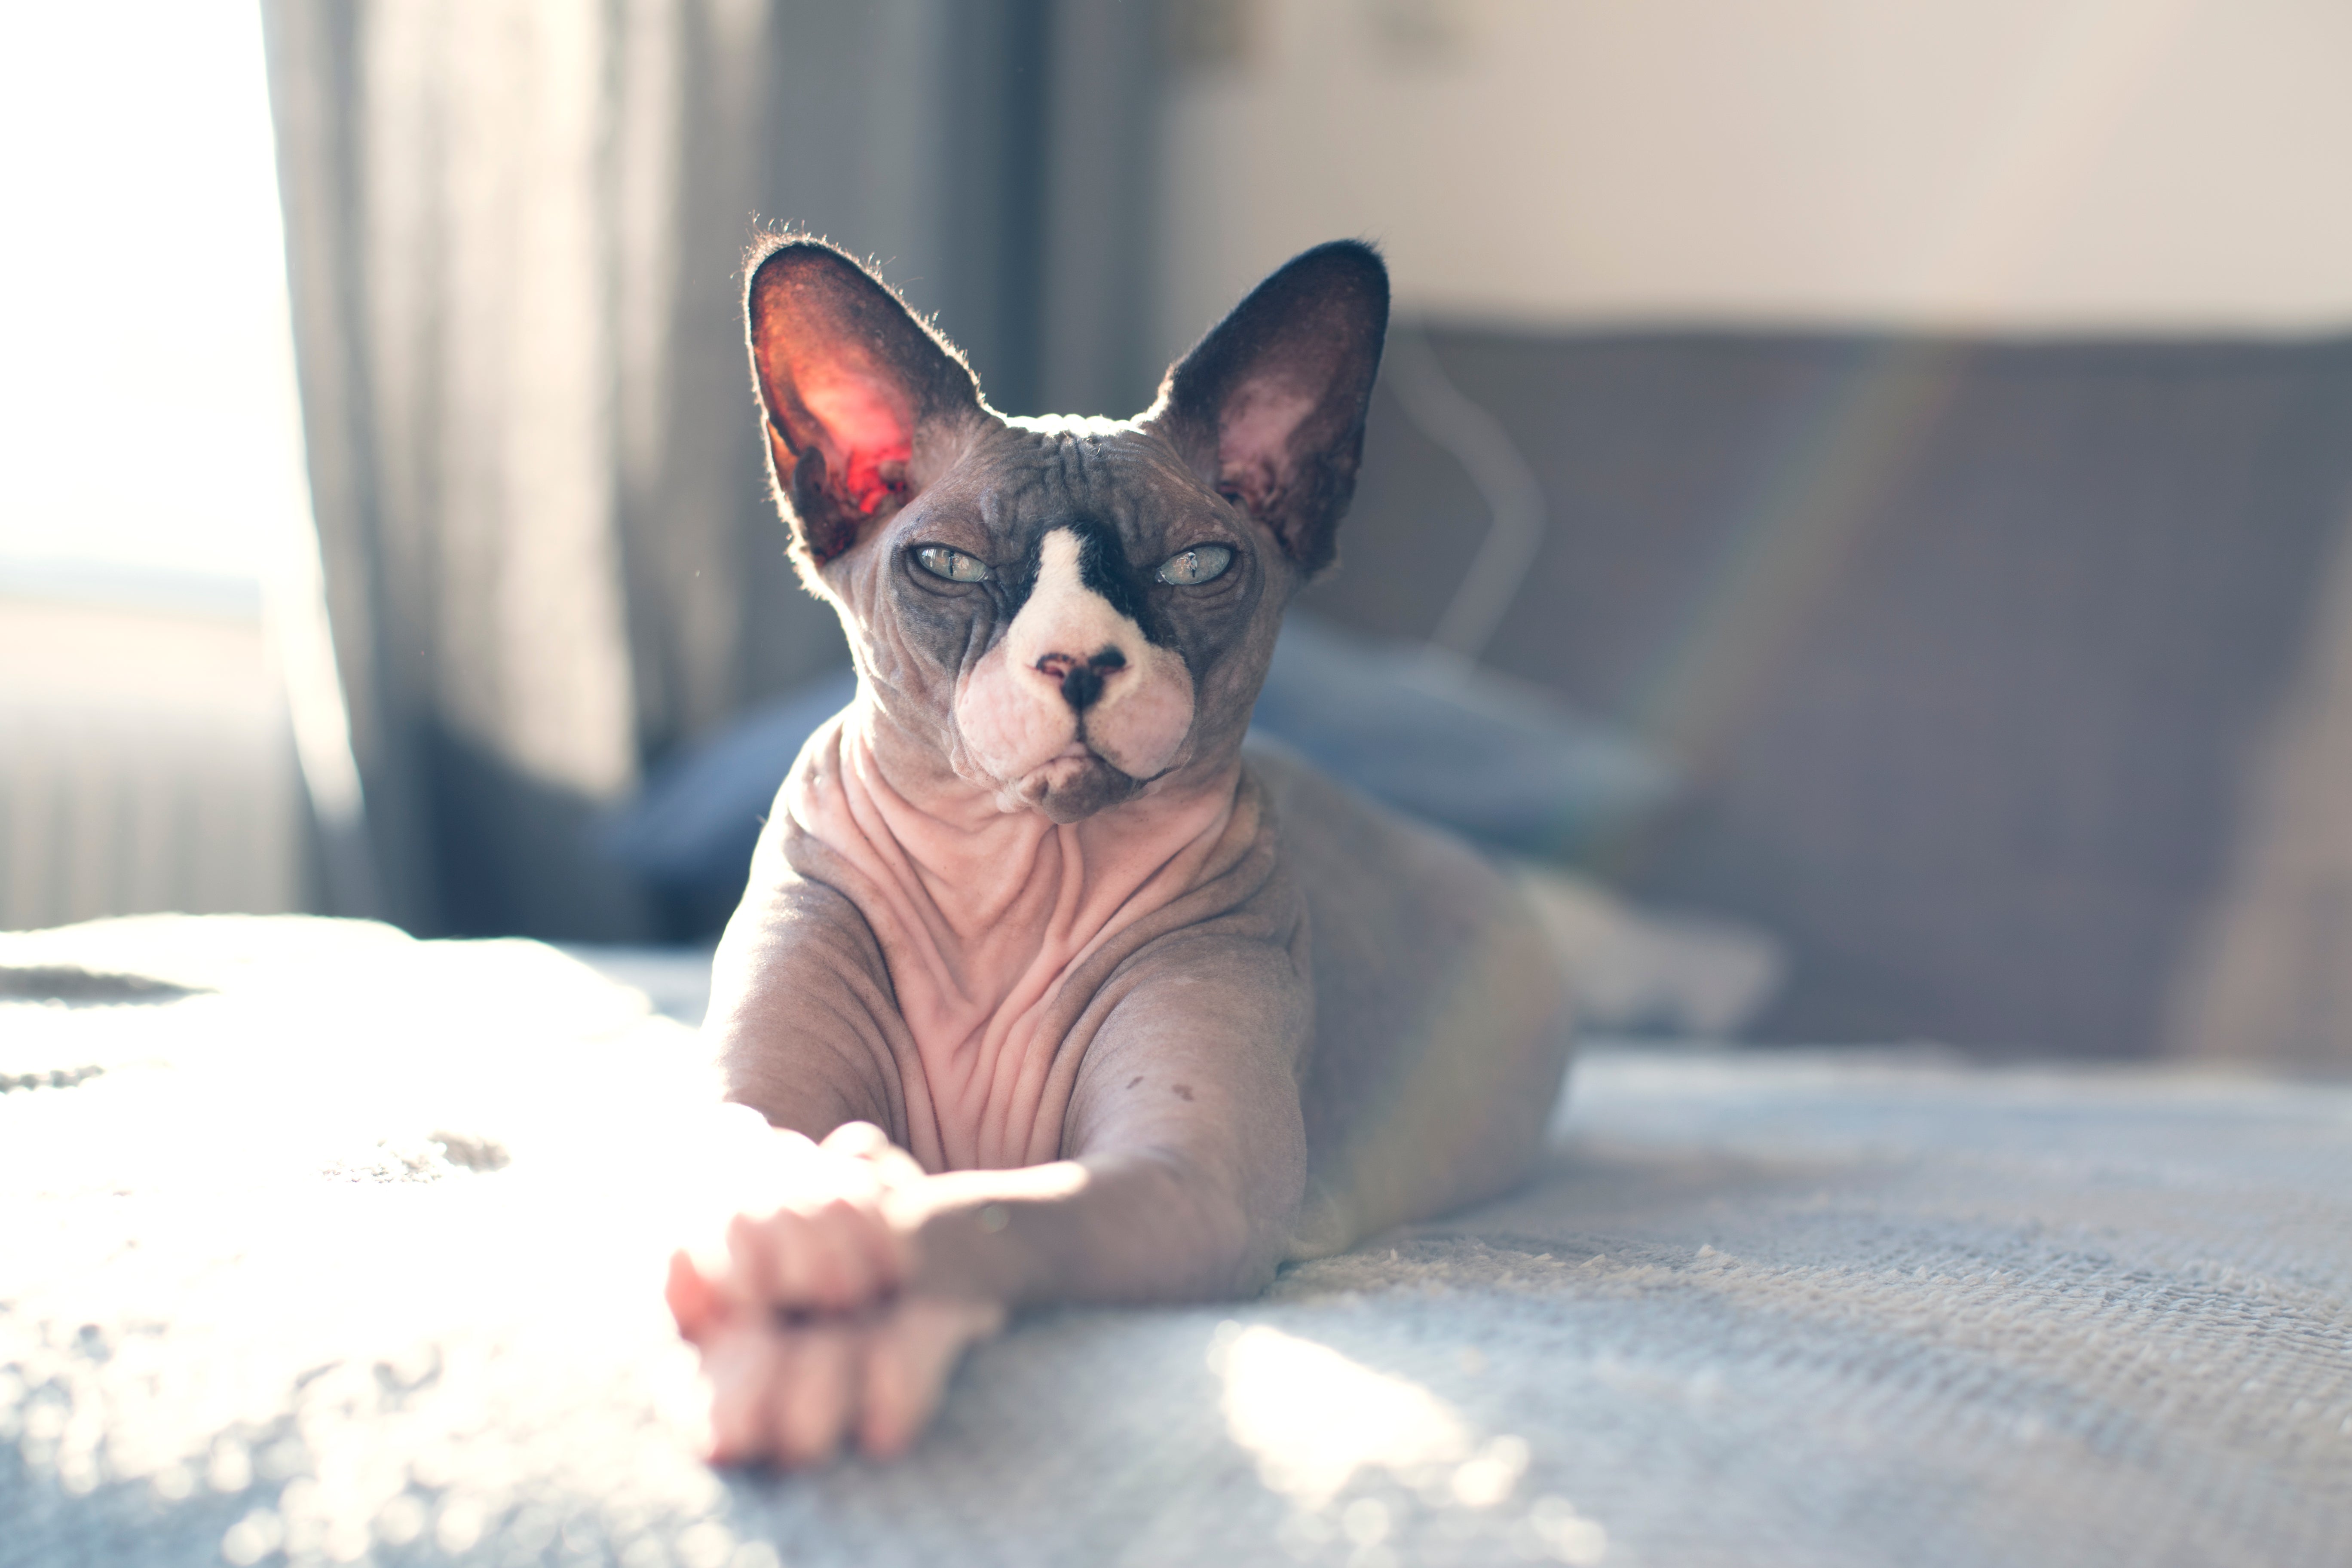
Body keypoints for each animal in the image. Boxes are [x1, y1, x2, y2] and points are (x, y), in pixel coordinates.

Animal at [663, 236, 1580, 1476]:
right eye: (947, 564)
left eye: (1197, 567)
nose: (1080, 662)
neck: (1007, 903)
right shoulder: (735, 1114)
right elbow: (774, 1159)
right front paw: (806, 1241)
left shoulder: (1187, 1180)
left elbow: (988, 1207)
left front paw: (835, 1292)